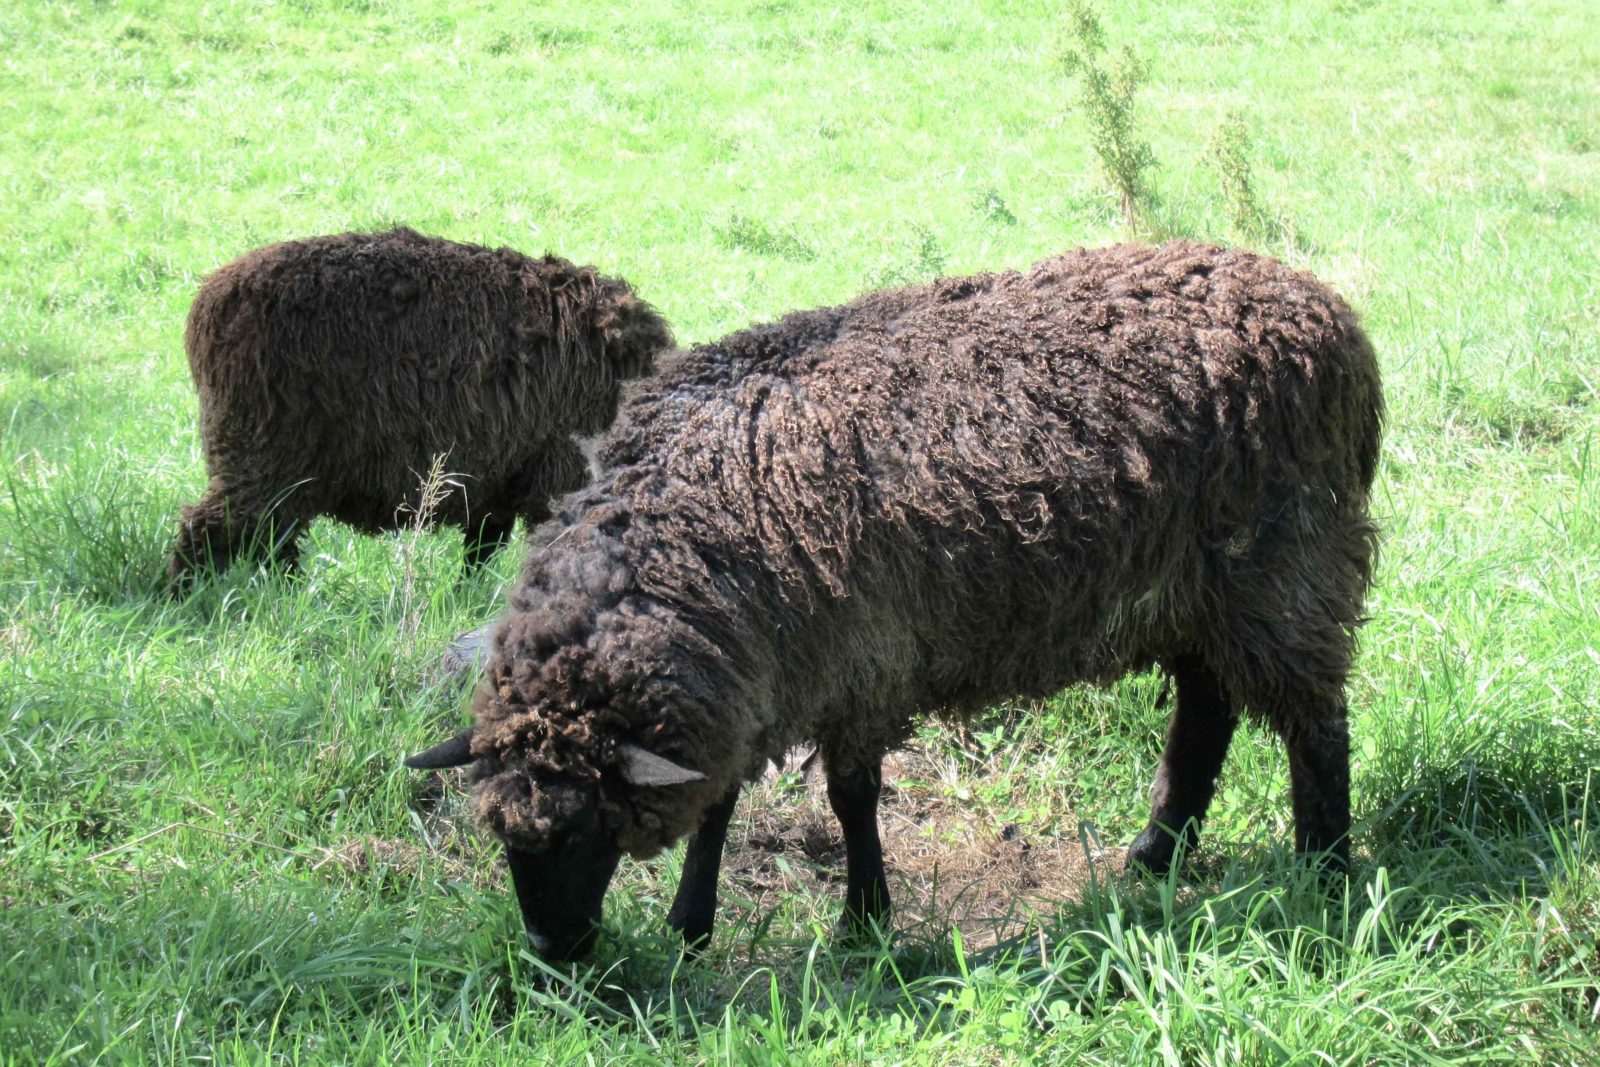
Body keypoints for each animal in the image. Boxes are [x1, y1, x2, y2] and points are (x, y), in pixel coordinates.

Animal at [167, 227, 673, 593]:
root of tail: (208, 305)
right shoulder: (555, 474)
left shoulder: (500, 480)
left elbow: (481, 551)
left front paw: (464, 600)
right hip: (261, 455)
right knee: (209, 529)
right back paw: (187, 600)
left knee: (271, 542)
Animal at [405, 241, 1383, 961]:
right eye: (505, 841)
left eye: (584, 833)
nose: (550, 951)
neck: (695, 520)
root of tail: (1326, 309)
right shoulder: (755, 669)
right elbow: (718, 804)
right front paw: (691, 925)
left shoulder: (860, 659)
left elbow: (851, 797)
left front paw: (864, 920)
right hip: (1202, 592)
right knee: (1208, 708)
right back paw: (1155, 854)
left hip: (1288, 566)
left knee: (1315, 721)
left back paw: (1324, 870)